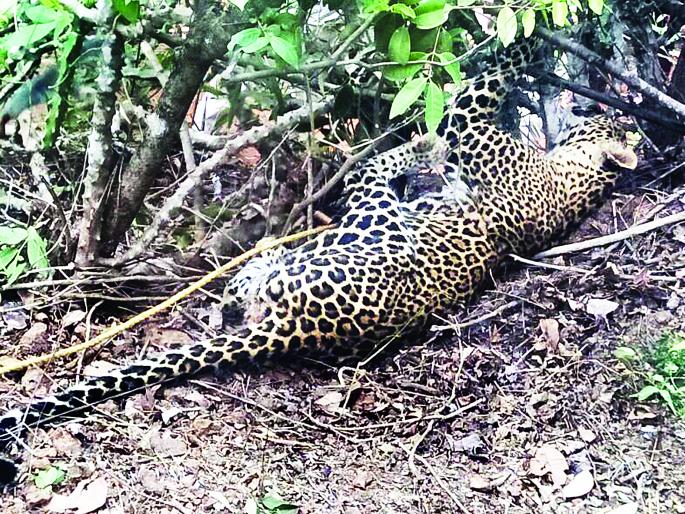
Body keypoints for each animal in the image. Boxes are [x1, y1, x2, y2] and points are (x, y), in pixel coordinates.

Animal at [0, 39, 637, 484]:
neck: (577, 178)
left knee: (363, 180)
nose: (589, 102)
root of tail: (296, 330)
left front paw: (530, 35)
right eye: (610, 119)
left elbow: (483, 82)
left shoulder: (473, 127)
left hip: (368, 222)